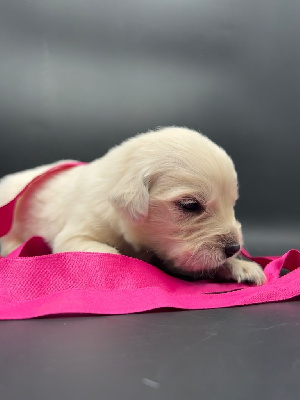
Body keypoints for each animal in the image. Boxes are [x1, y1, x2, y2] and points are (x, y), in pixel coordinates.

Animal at [0, 127, 266, 284]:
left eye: (232, 203)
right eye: (190, 205)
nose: (234, 247)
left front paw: (241, 266)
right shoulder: (76, 234)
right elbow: (106, 253)